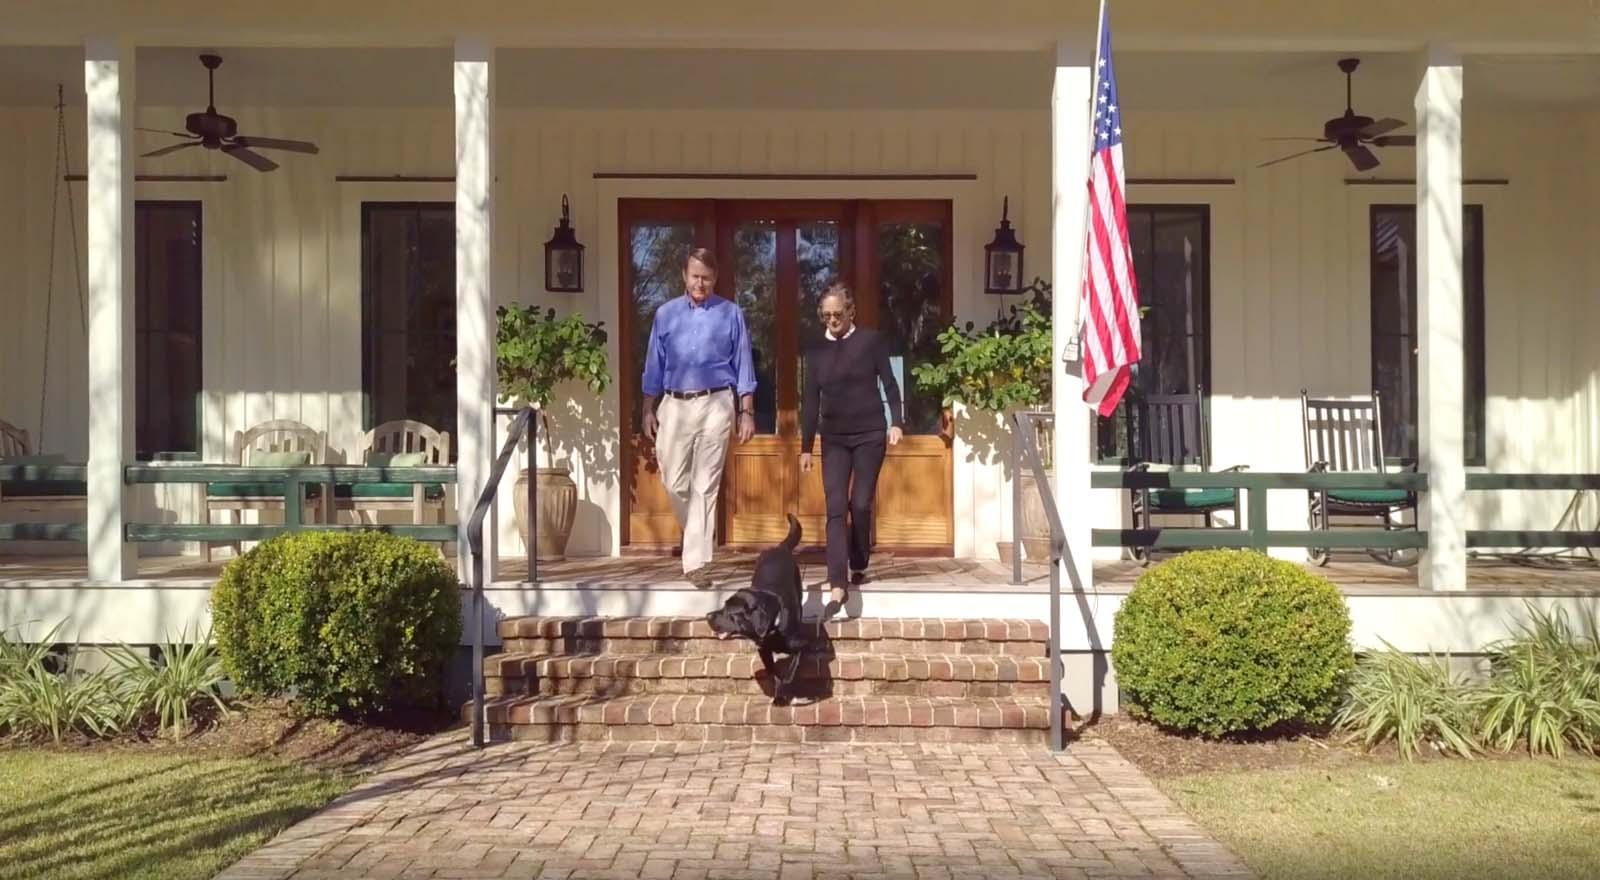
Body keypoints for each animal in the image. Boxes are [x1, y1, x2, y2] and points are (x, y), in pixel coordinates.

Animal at [707, 515, 819, 707]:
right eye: (723, 605)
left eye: (731, 613)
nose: (707, 616)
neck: (774, 625)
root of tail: (779, 547)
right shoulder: (763, 650)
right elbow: (774, 673)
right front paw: (779, 694)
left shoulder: (799, 647)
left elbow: (789, 673)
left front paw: (785, 692)